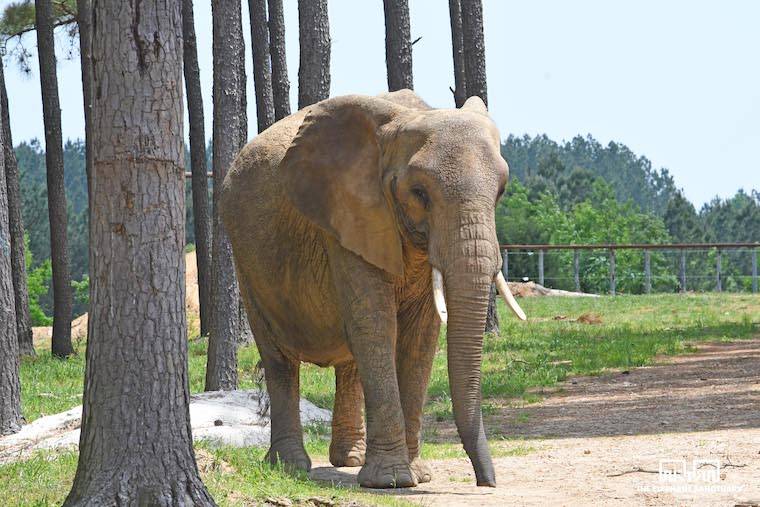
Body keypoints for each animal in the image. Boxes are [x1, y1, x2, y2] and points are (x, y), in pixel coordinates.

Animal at [220, 89, 526, 489]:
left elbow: (420, 335)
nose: (486, 482)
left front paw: (418, 476)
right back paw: (290, 466)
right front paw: (391, 481)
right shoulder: (348, 215)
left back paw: (349, 458)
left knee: (349, 360)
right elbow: (377, 325)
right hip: (244, 255)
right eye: (419, 193)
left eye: (501, 191)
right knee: (279, 359)